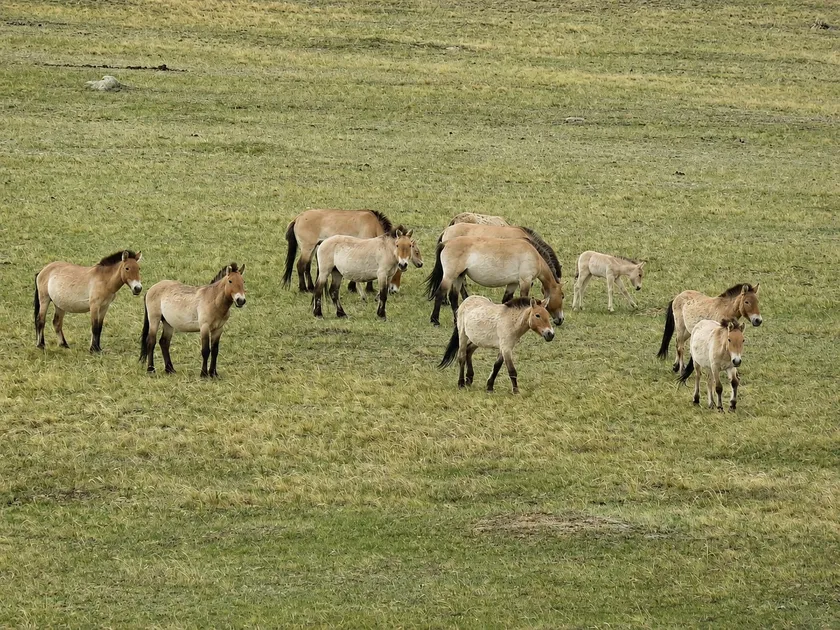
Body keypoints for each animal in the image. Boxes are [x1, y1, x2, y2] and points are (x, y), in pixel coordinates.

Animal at [425, 236, 564, 327]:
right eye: (562, 296)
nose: (561, 319)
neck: (533, 255)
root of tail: (446, 242)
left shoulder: (513, 283)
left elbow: (506, 300)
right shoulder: (525, 281)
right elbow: (524, 298)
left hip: (459, 276)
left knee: (453, 297)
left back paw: (456, 321)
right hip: (450, 276)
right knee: (440, 293)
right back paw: (435, 320)